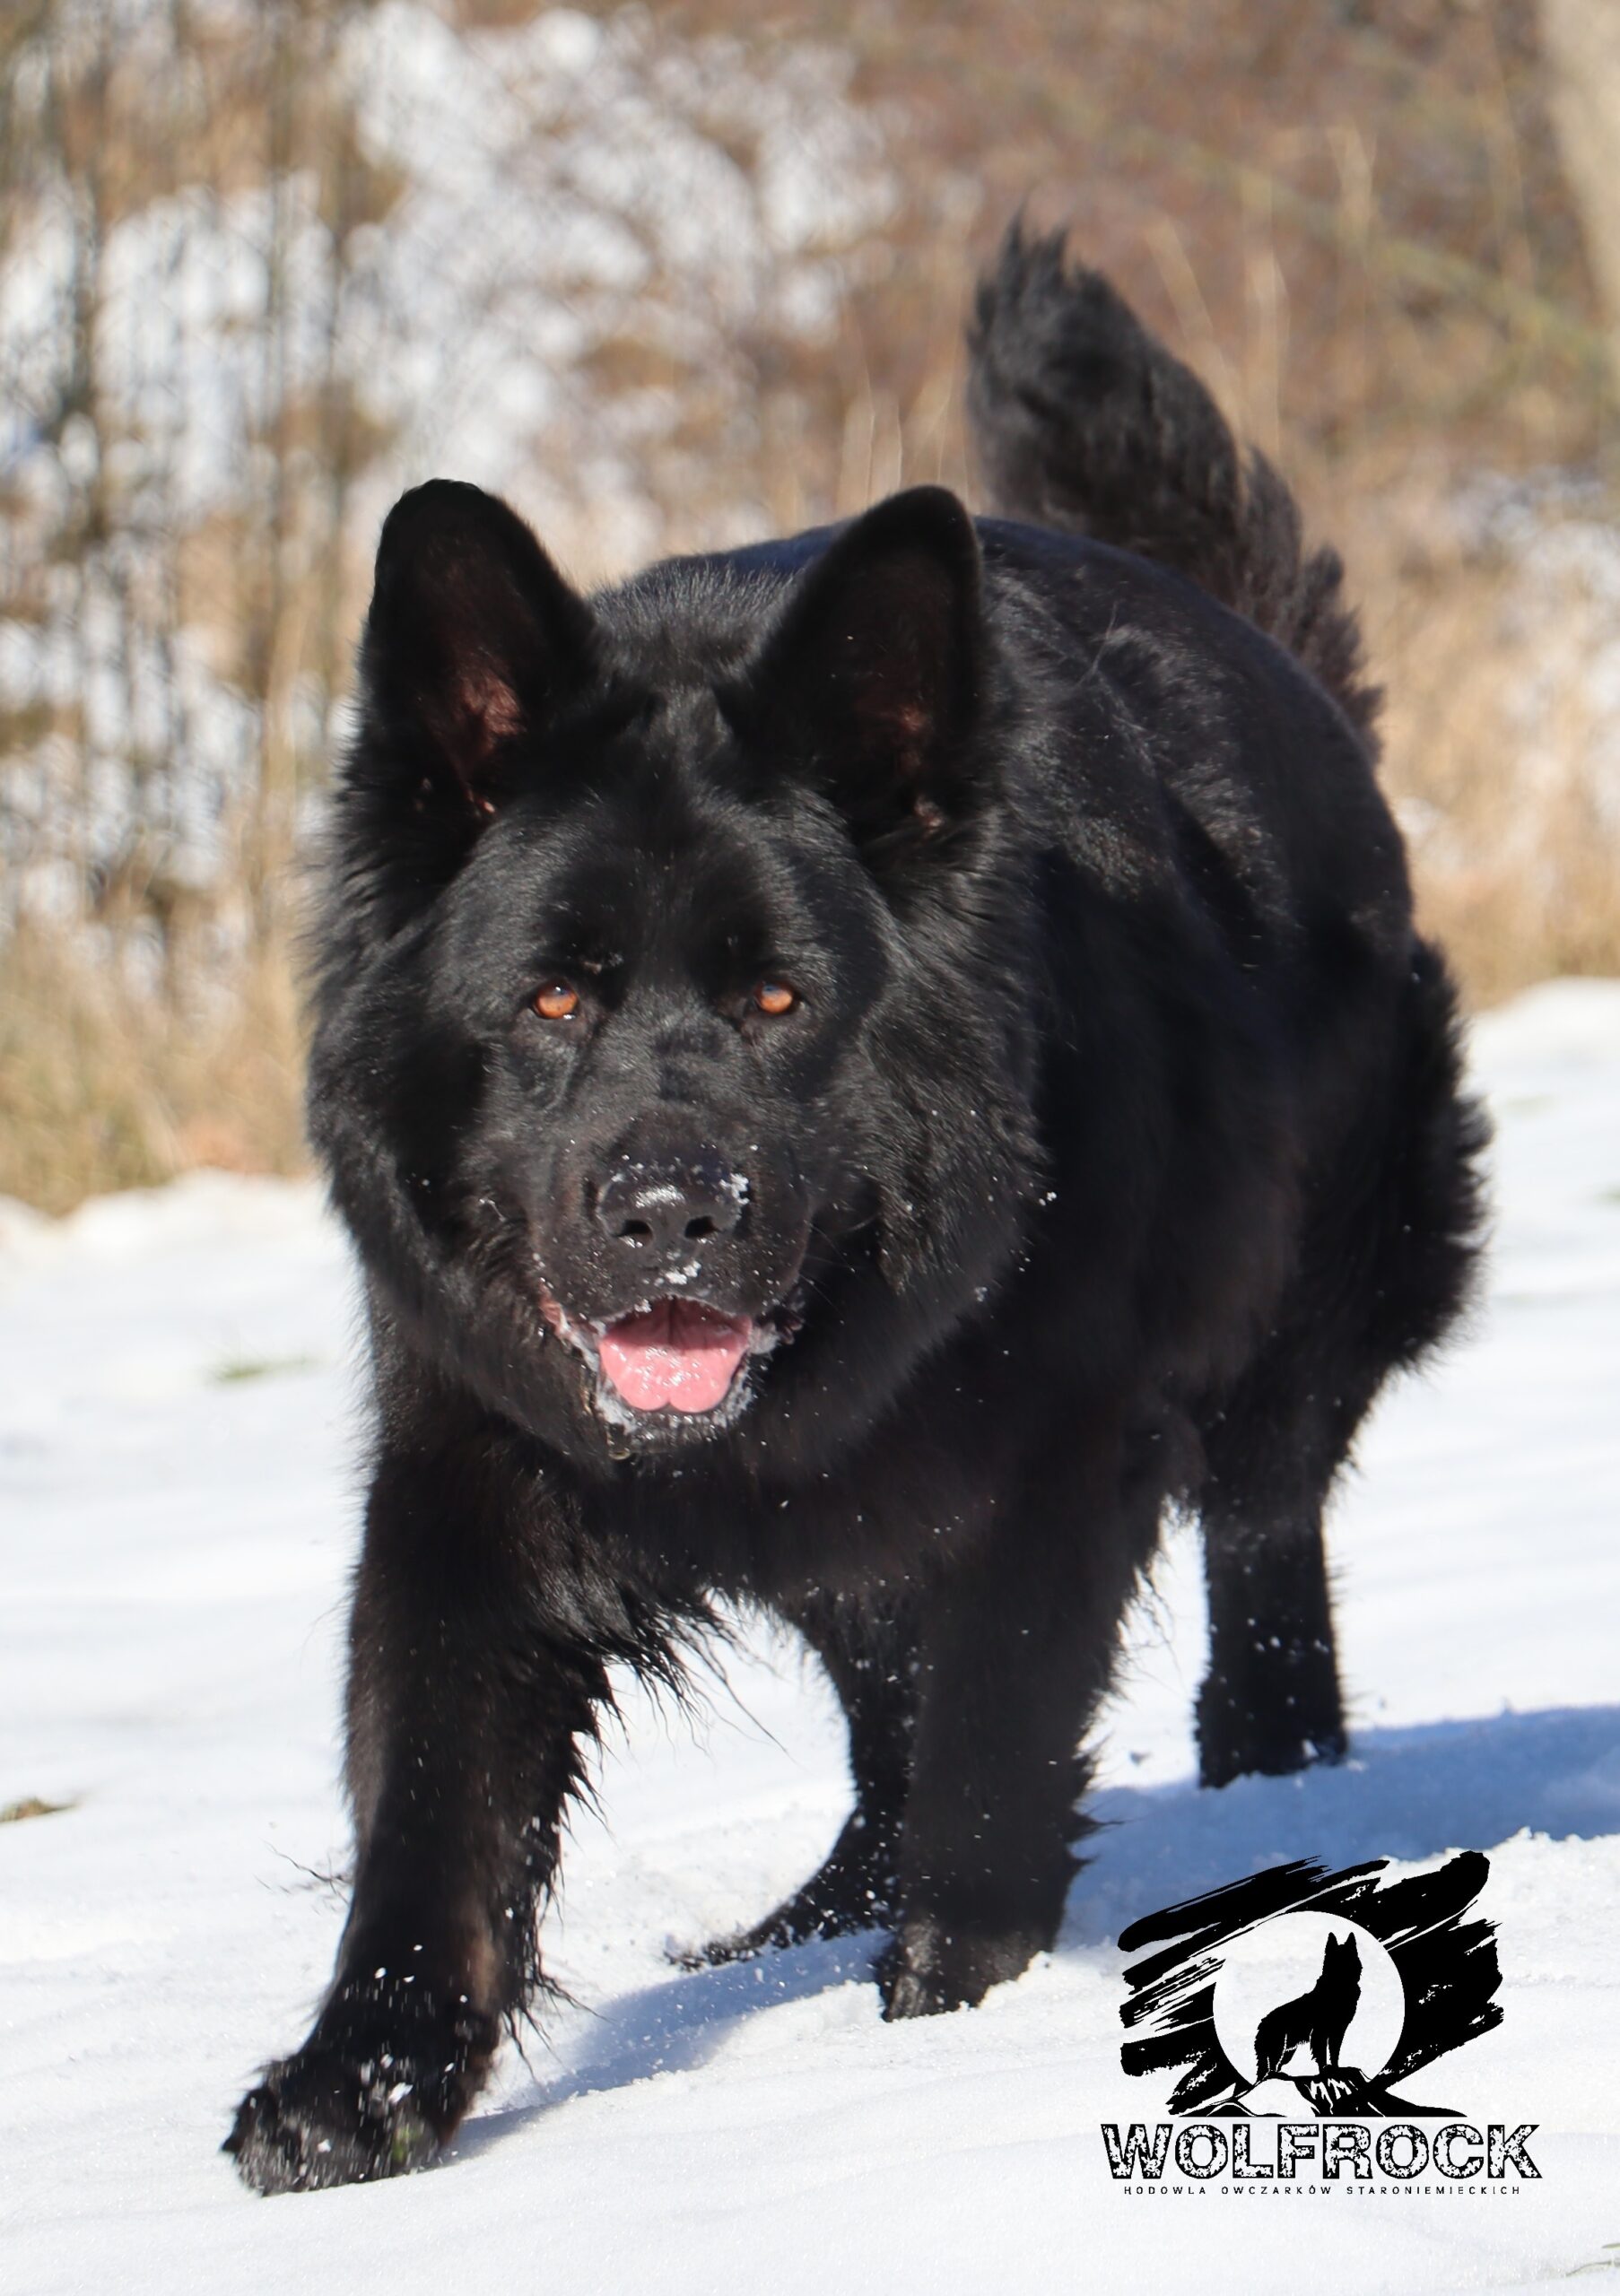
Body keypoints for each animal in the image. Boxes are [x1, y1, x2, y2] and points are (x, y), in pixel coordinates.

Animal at [225, 224, 1485, 2193]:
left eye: (776, 1000)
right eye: (552, 999)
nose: (670, 1209)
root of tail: (1260, 650)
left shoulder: (1061, 1459)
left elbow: (992, 1752)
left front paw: (939, 2020)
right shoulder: (466, 1455)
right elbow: (431, 1797)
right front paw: (363, 2083)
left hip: (1301, 1314)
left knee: (1262, 1531)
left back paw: (1276, 1771)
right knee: (880, 1696)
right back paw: (800, 1921)